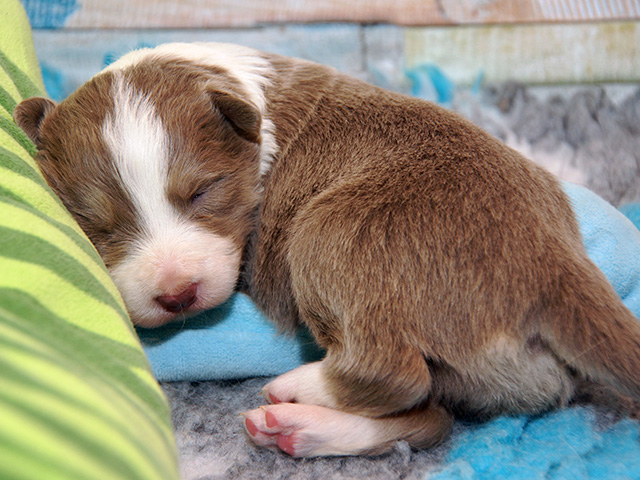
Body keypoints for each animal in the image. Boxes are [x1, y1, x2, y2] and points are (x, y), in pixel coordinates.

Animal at [15, 42, 640, 457]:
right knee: (430, 417)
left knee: (395, 374)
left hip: (330, 235)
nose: (177, 296)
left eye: (202, 191)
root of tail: (554, 265)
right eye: (96, 225)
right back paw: (301, 430)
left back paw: (297, 388)